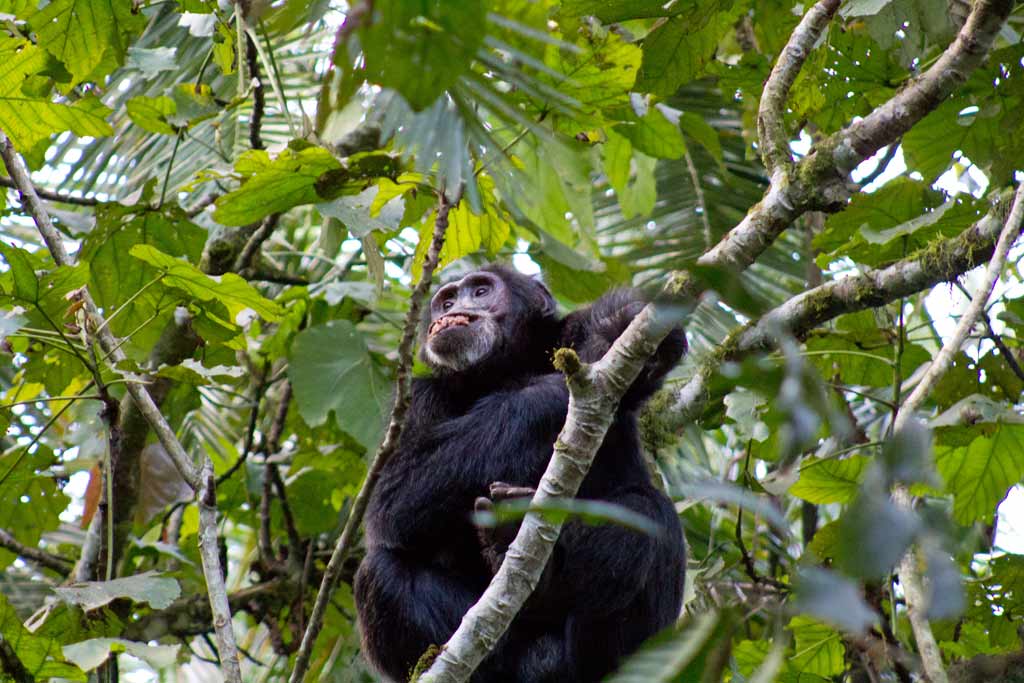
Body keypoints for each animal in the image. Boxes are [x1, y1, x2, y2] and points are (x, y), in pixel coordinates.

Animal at [354, 266, 688, 683]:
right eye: (446, 301)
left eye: (481, 291)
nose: (453, 311)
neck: (501, 370)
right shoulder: (418, 399)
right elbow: (394, 498)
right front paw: (565, 381)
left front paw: (616, 328)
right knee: (379, 571)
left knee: (649, 513)